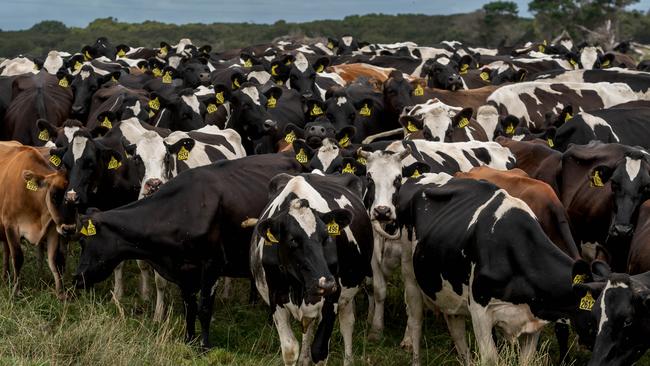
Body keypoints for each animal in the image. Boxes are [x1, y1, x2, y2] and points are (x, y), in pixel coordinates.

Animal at [0, 142, 73, 296]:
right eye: (54, 196)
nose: (69, 229)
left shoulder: (53, 229)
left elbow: (54, 261)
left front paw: (61, 294)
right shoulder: (10, 225)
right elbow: (18, 257)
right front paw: (16, 291)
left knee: (6, 250)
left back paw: (5, 276)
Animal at [249, 174, 370, 366]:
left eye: (327, 237)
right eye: (292, 240)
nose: (325, 283)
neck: (298, 286)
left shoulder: (332, 298)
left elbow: (319, 351)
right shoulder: (275, 297)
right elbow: (290, 349)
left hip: (346, 293)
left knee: (347, 324)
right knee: (308, 328)